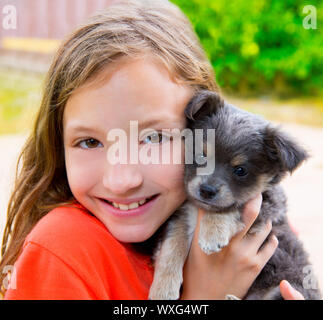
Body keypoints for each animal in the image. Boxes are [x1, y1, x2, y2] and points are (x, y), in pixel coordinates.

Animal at [149, 89, 322, 300]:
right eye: (201, 156)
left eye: (240, 170)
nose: (206, 190)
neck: (198, 210)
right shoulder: (181, 217)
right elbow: (171, 249)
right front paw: (163, 289)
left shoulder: (267, 207)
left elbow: (230, 207)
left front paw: (212, 232)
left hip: (287, 285)